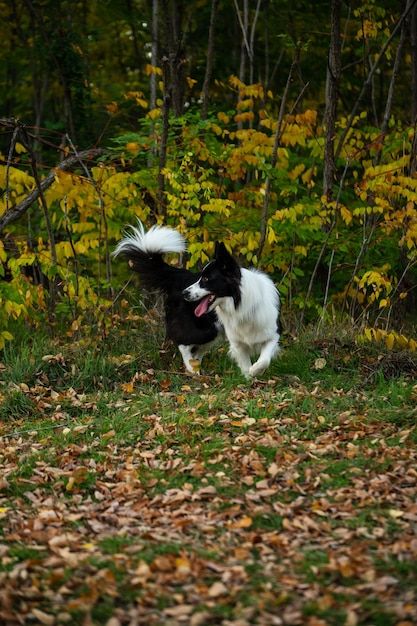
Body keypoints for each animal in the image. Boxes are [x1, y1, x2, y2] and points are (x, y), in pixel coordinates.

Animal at [182, 239, 280, 376]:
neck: (241, 307)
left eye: (206, 278)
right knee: (183, 345)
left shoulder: (273, 334)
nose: (184, 293)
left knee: (196, 351)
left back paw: (196, 369)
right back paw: (191, 367)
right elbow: (245, 366)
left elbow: (264, 360)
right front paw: (249, 377)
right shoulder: (237, 343)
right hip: (207, 331)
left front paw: (255, 371)